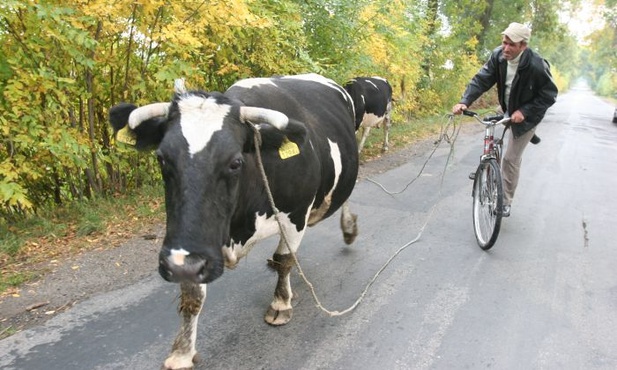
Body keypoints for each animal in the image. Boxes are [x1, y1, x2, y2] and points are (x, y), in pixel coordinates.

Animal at [109, 73, 360, 368]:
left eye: (236, 162)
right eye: (161, 158)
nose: (179, 266)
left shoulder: (297, 214)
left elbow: (284, 259)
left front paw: (280, 304)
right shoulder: (195, 247)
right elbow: (193, 294)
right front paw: (182, 351)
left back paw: (348, 229)